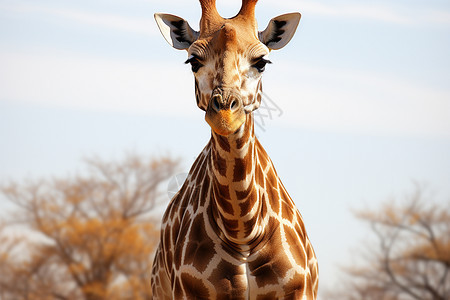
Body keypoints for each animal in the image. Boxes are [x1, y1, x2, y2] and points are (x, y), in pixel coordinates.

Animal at [151, 0, 316, 298]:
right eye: (193, 61)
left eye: (262, 62)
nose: (226, 115)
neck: (243, 230)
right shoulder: (187, 291)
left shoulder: (300, 290)